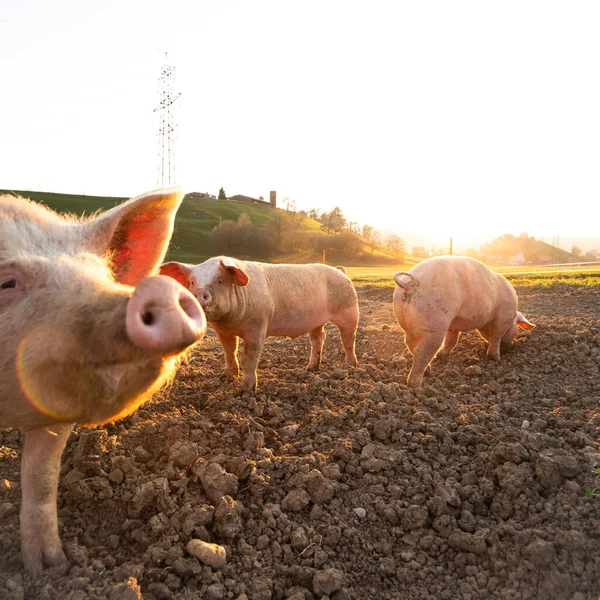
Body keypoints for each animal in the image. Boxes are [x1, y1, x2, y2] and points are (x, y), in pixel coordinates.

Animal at [158, 255, 360, 392]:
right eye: (192, 281)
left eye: (220, 280)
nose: (199, 293)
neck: (230, 321)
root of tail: (340, 271)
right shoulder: (222, 331)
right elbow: (229, 352)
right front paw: (226, 378)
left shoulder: (258, 326)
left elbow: (249, 356)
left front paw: (247, 390)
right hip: (315, 321)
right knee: (319, 338)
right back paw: (310, 369)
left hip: (350, 310)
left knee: (348, 338)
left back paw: (351, 366)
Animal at [394, 254, 536, 390]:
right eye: (515, 327)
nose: (510, 346)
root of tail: (410, 283)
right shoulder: (502, 321)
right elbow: (496, 338)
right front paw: (495, 359)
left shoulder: (453, 325)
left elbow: (452, 340)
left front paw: (441, 356)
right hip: (434, 324)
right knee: (421, 352)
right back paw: (416, 387)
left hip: (407, 325)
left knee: (410, 344)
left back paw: (428, 370)